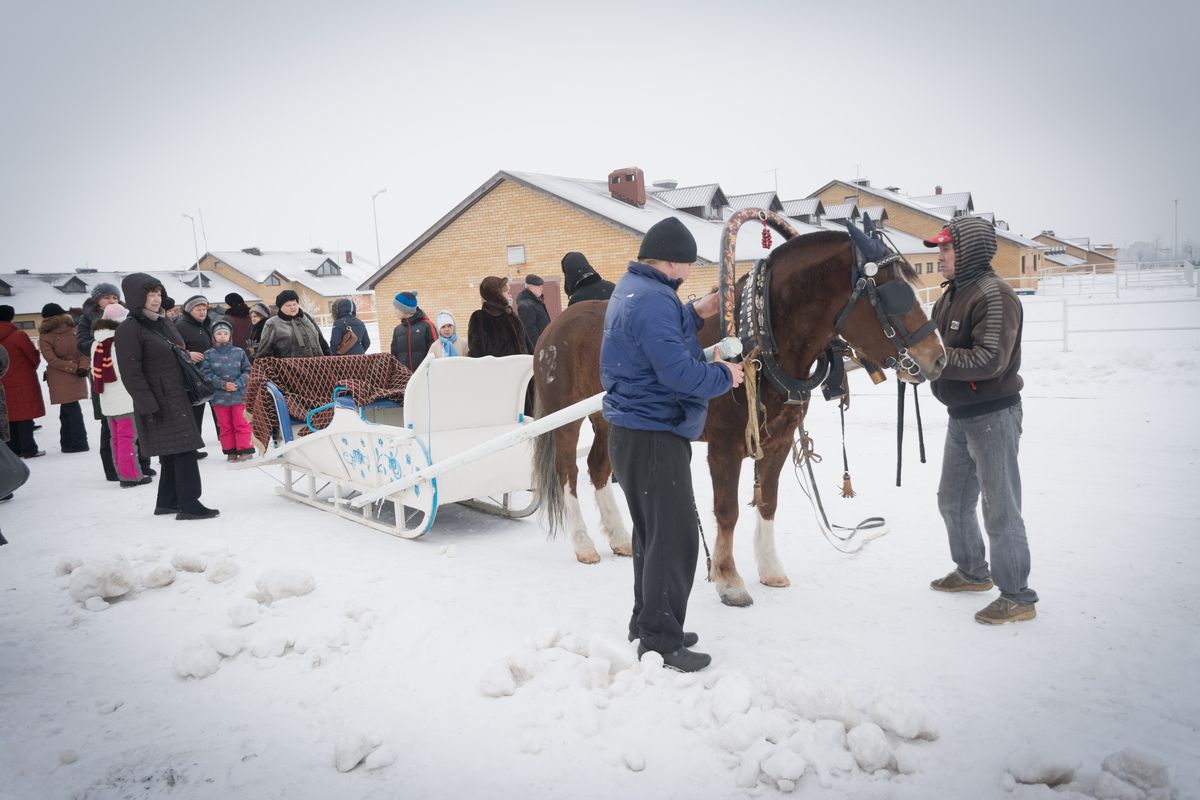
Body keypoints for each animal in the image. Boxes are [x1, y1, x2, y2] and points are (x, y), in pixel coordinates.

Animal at [535, 227, 945, 604]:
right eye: (895, 292)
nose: (936, 359)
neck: (761, 341)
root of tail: (554, 326)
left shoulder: (778, 442)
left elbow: (768, 503)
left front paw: (770, 568)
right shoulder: (724, 446)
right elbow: (727, 510)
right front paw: (728, 578)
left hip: (608, 419)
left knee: (598, 468)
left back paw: (619, 537)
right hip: (565, 419)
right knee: (568, 472)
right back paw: (584, 544)